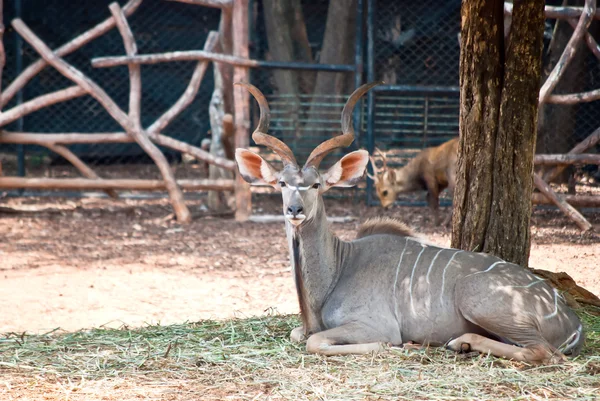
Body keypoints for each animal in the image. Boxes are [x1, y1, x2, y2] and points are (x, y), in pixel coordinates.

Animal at [237, 81, 584, 362]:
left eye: (316, 185)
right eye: (281, 183)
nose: (294, 209)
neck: (340, 267)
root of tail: (572, 320)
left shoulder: (375, 325)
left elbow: (318, 341)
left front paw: (396, 347)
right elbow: (299, 334)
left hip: (480, 302)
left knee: (544, 353)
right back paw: (460, 343)